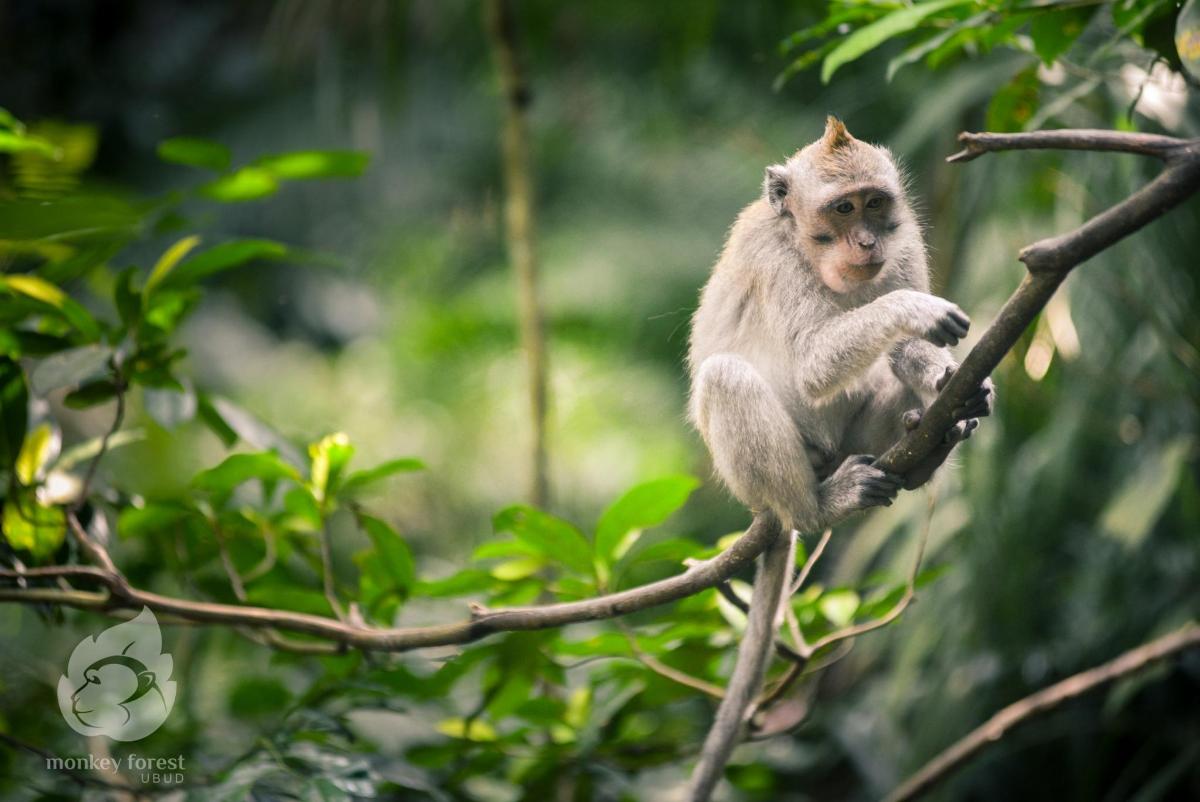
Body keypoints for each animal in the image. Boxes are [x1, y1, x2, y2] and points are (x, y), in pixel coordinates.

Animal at [685, 117, 994, 801]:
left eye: (875, 204)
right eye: (842, 208)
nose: (866, 239)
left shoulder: (905, 245)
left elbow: (903, 351)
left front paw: (948, 377)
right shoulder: (774, 257)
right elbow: (812, 362)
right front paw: (911, 311)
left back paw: (929, 443)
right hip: (779, 474)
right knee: (726, 378)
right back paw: (818, 510)